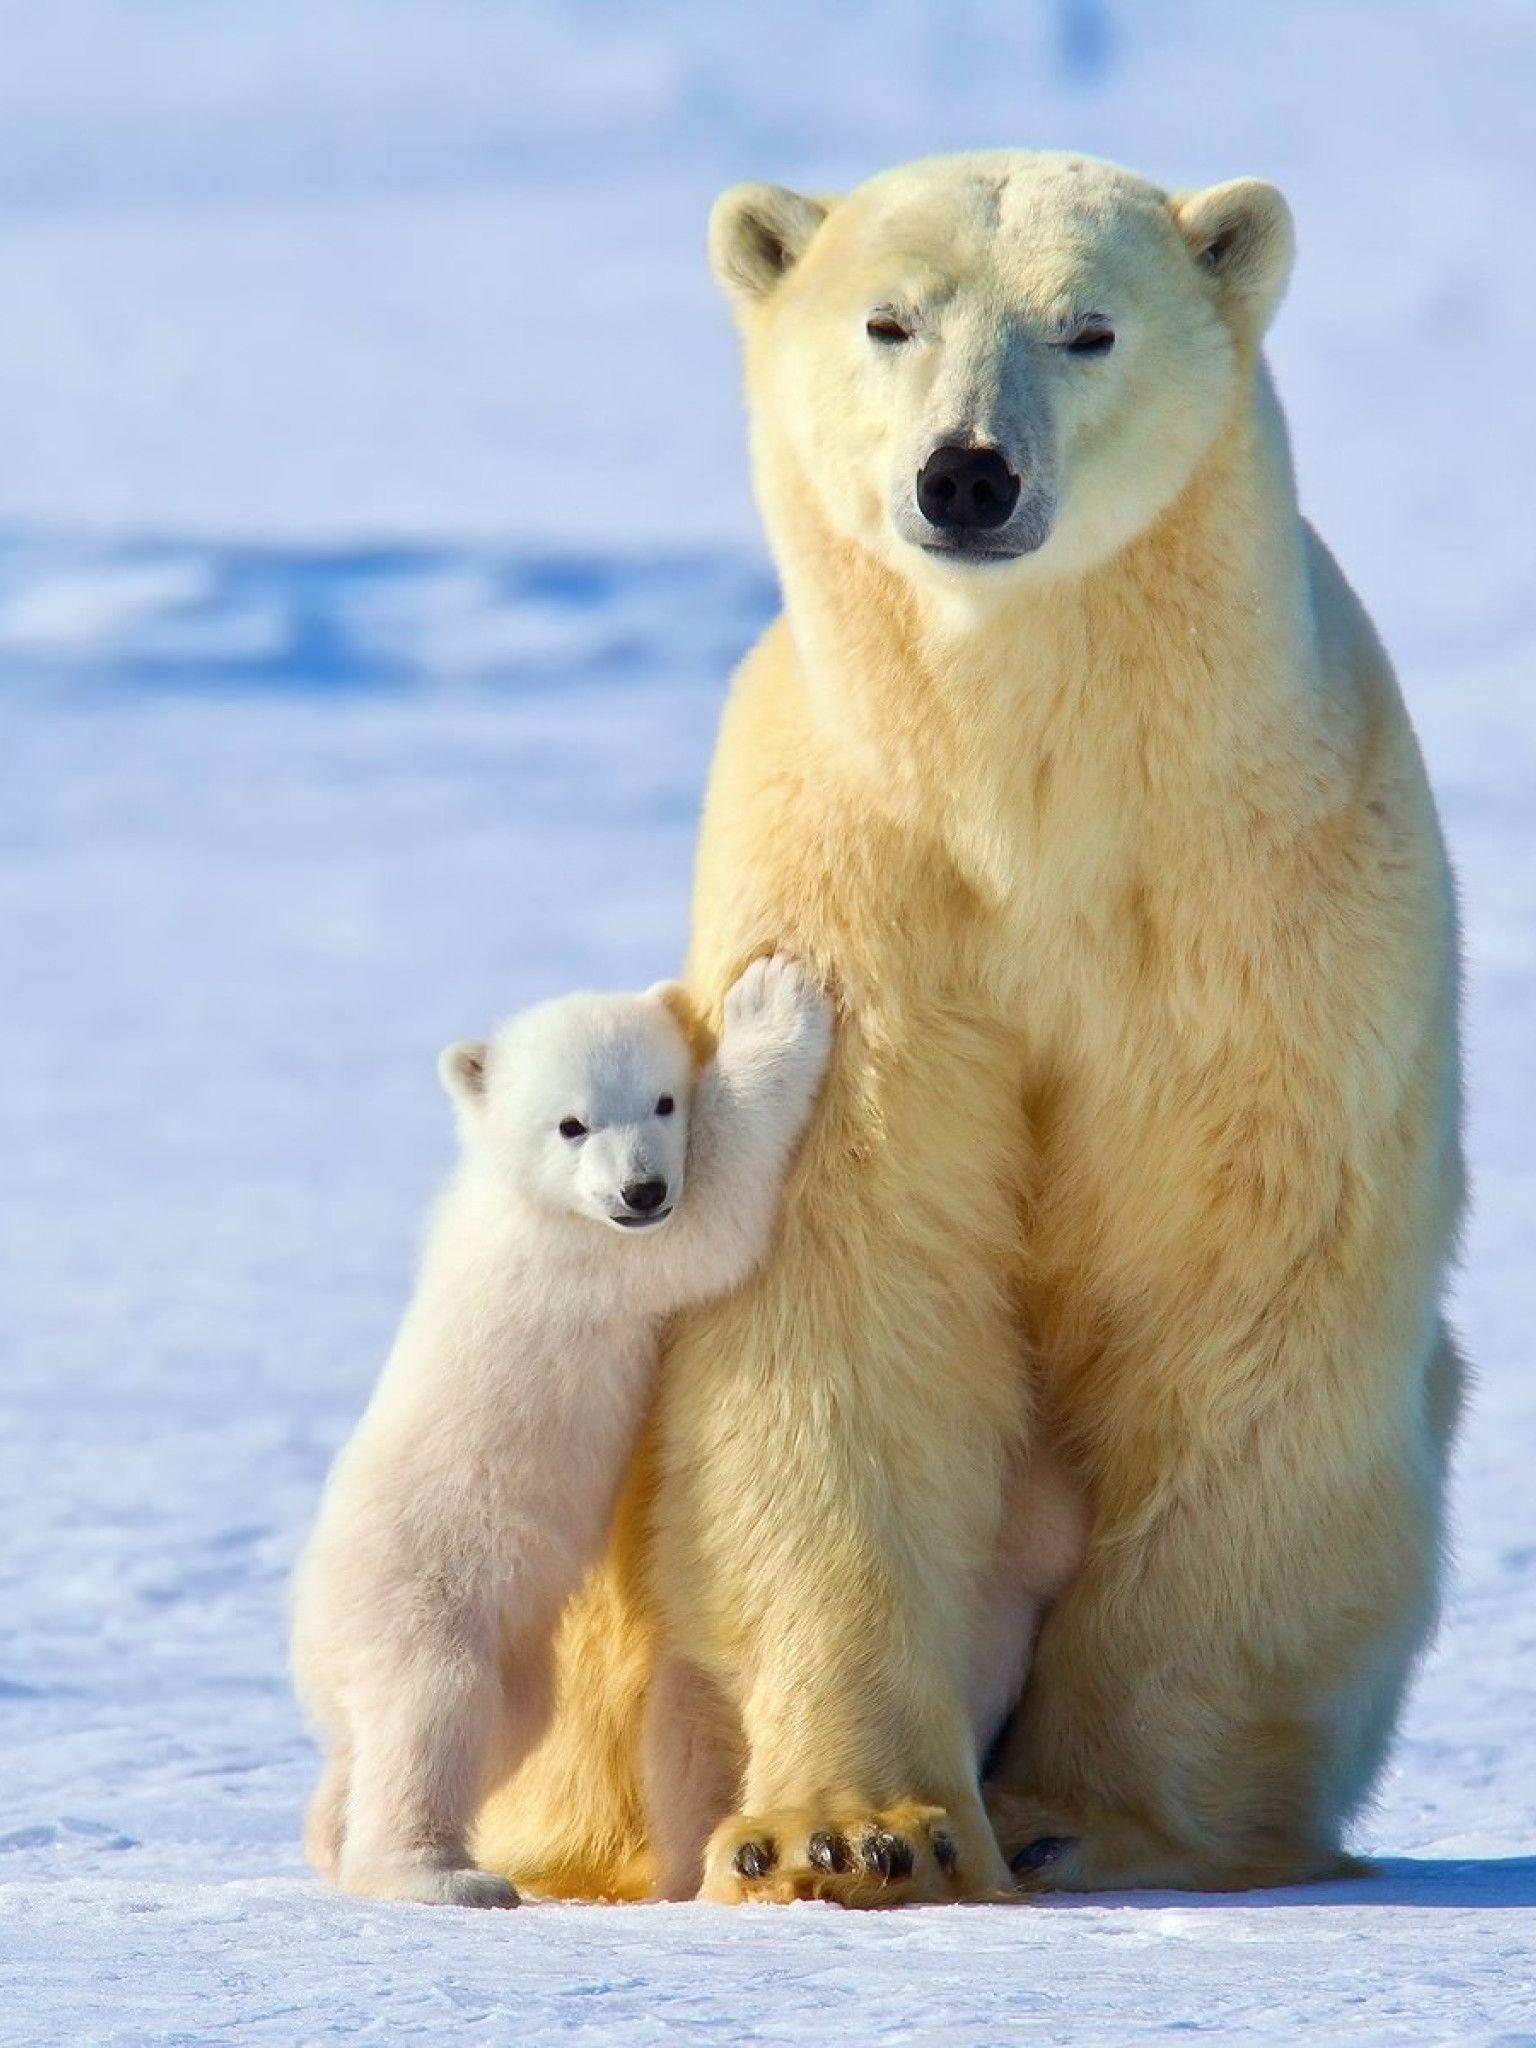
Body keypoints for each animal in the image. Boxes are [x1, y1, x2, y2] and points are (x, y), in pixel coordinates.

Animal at [290, 954, 832, 1905]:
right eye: (572, 1124)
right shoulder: (586, 1259)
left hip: (509, 1655)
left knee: (481, 1729)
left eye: (661, 1100)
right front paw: (770, 1003)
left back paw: (330, 1832)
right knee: (430, 1710)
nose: (641, 1188)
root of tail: (307, 1631)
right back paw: (443, 1875)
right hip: (421, 1591)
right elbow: (711, 1221)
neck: (521, 1198)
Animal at [472, 149, 1464, 1905]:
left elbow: (1241, 1289)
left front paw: (1098, 1817)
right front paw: (858, 1830)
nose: (968, 477)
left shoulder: (1261, 903)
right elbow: (845, 1290)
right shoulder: (858, 890)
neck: (1035, 792)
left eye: (1088, 326)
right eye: (890, 319)